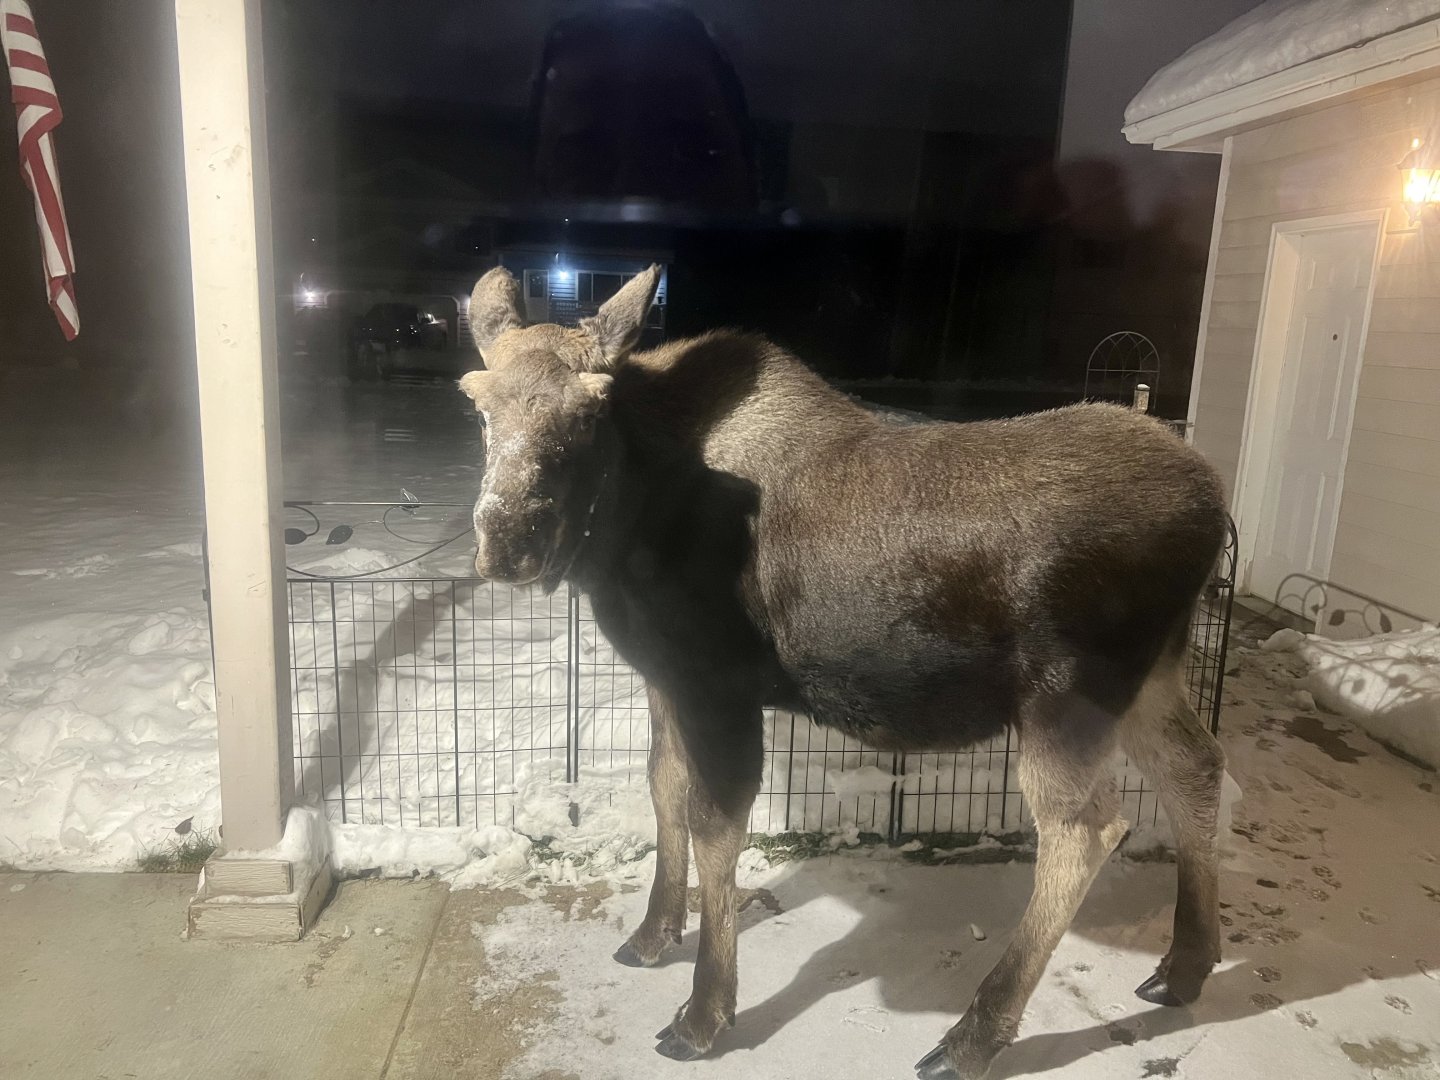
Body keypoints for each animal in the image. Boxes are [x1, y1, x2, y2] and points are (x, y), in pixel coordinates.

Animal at [457, 264, 1227, 1079]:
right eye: (477, 404)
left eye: (589, 412)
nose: (508, 542)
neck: (624, 526)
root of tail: (1217, 510)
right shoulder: (663, 677)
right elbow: (662, 788)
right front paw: (650, 935)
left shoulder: (716, 684)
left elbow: (714, 826)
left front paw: (704, 1016)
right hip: (1152, 675)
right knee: (1196, 765)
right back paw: (1184, 966)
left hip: (1066, 696)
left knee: (1084, 830)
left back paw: (972, 1037)